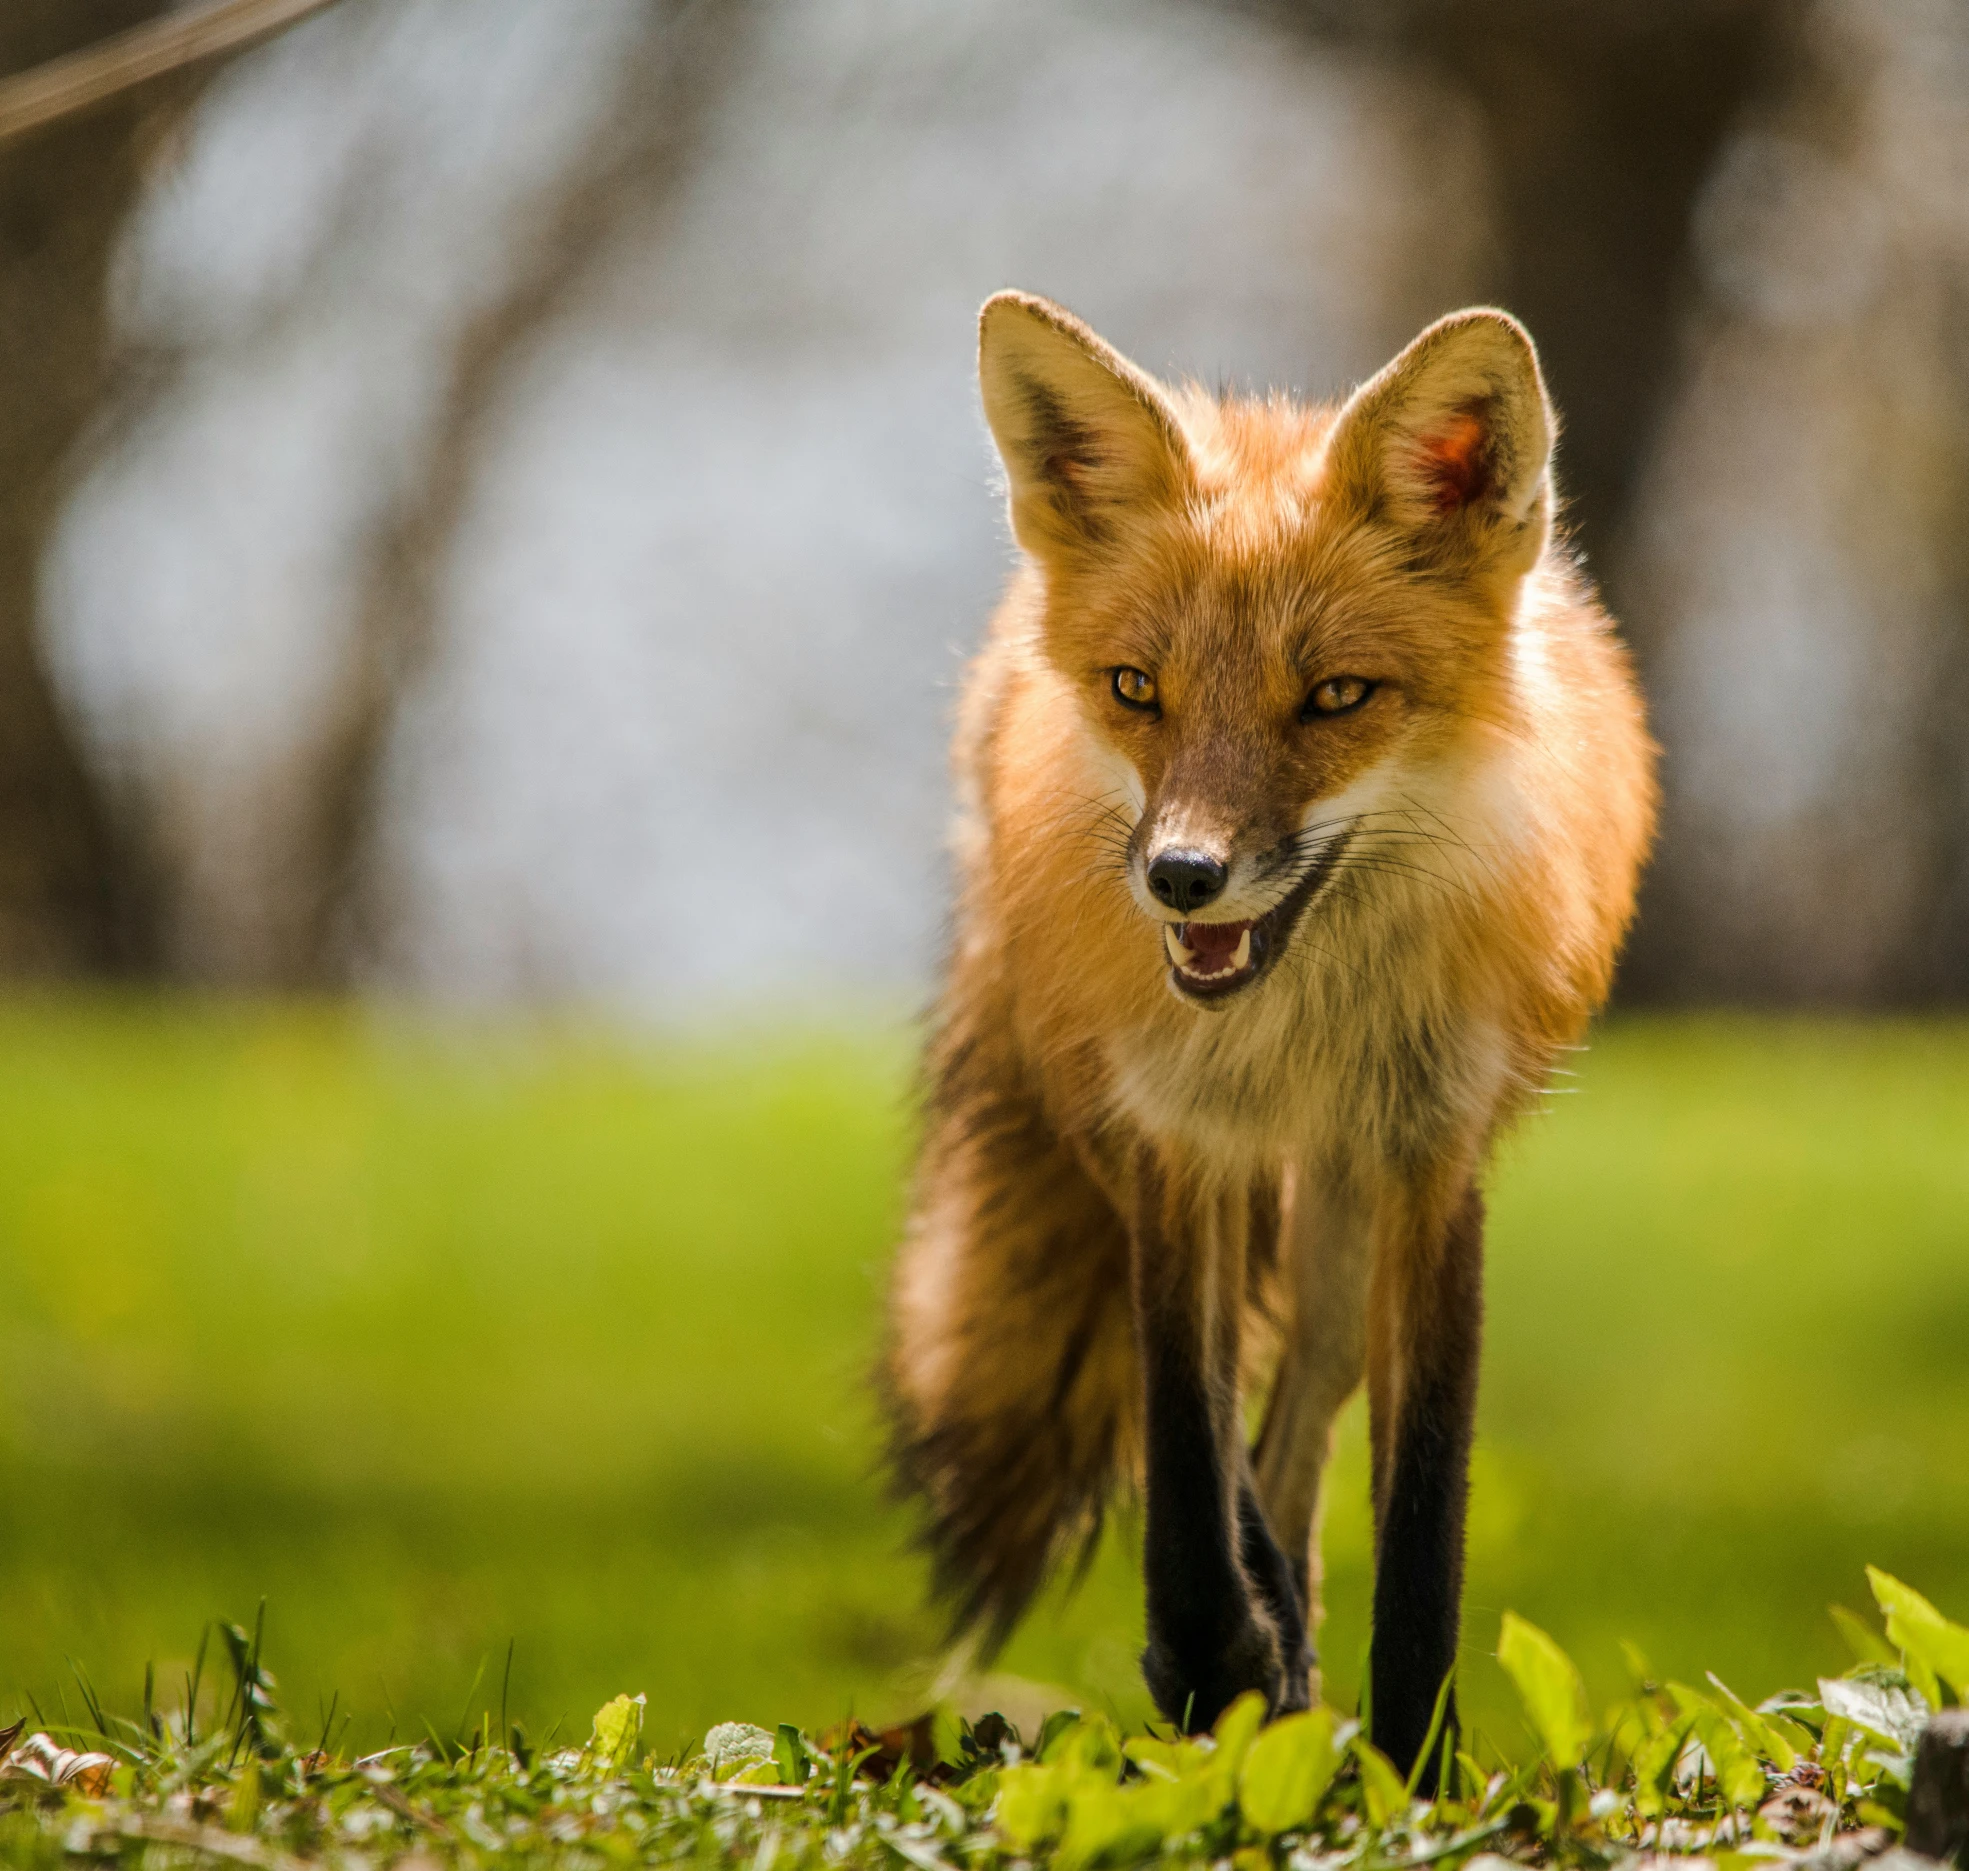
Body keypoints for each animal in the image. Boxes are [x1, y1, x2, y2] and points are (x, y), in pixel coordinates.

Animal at [886, 293, 1653, 1788]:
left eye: (1337, 696)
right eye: (1138, 687)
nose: (1181, 877)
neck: (1294, 1025)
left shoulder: (1429, 1159)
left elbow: (1420, 1511)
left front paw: (1414, 1762)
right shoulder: (1167, 1140)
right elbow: (1185, 1441)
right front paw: (1214, 1652)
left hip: (1338, 1219)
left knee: (1303, 1407)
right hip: (1142, 1140)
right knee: (1226, 1401)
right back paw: (1260, 1653)